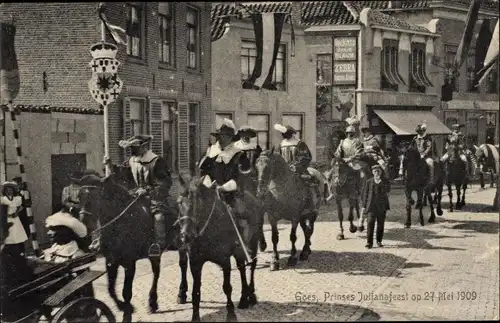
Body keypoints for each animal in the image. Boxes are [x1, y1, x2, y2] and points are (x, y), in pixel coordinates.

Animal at [77, 173, 179, 322]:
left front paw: (127, 310)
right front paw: (121, 307)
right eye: (79, 196)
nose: (83, 225)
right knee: (156, 272)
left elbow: (126, 292)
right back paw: (153, 302)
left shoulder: (130, 263)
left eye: (94, 197)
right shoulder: (111, 261)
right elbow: (111, 289)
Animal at [176, 176, 262, 322]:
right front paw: (195, 317)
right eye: (179, 202)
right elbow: (196, 291)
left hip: (253, 242)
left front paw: (231, 314)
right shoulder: (195, 262)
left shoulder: (225, 261)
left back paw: (251, 296)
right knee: (241, 268)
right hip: (239, 250)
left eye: (198, 203)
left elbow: (227, 287)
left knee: (251, 267)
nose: (186, 235)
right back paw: (244, 299)